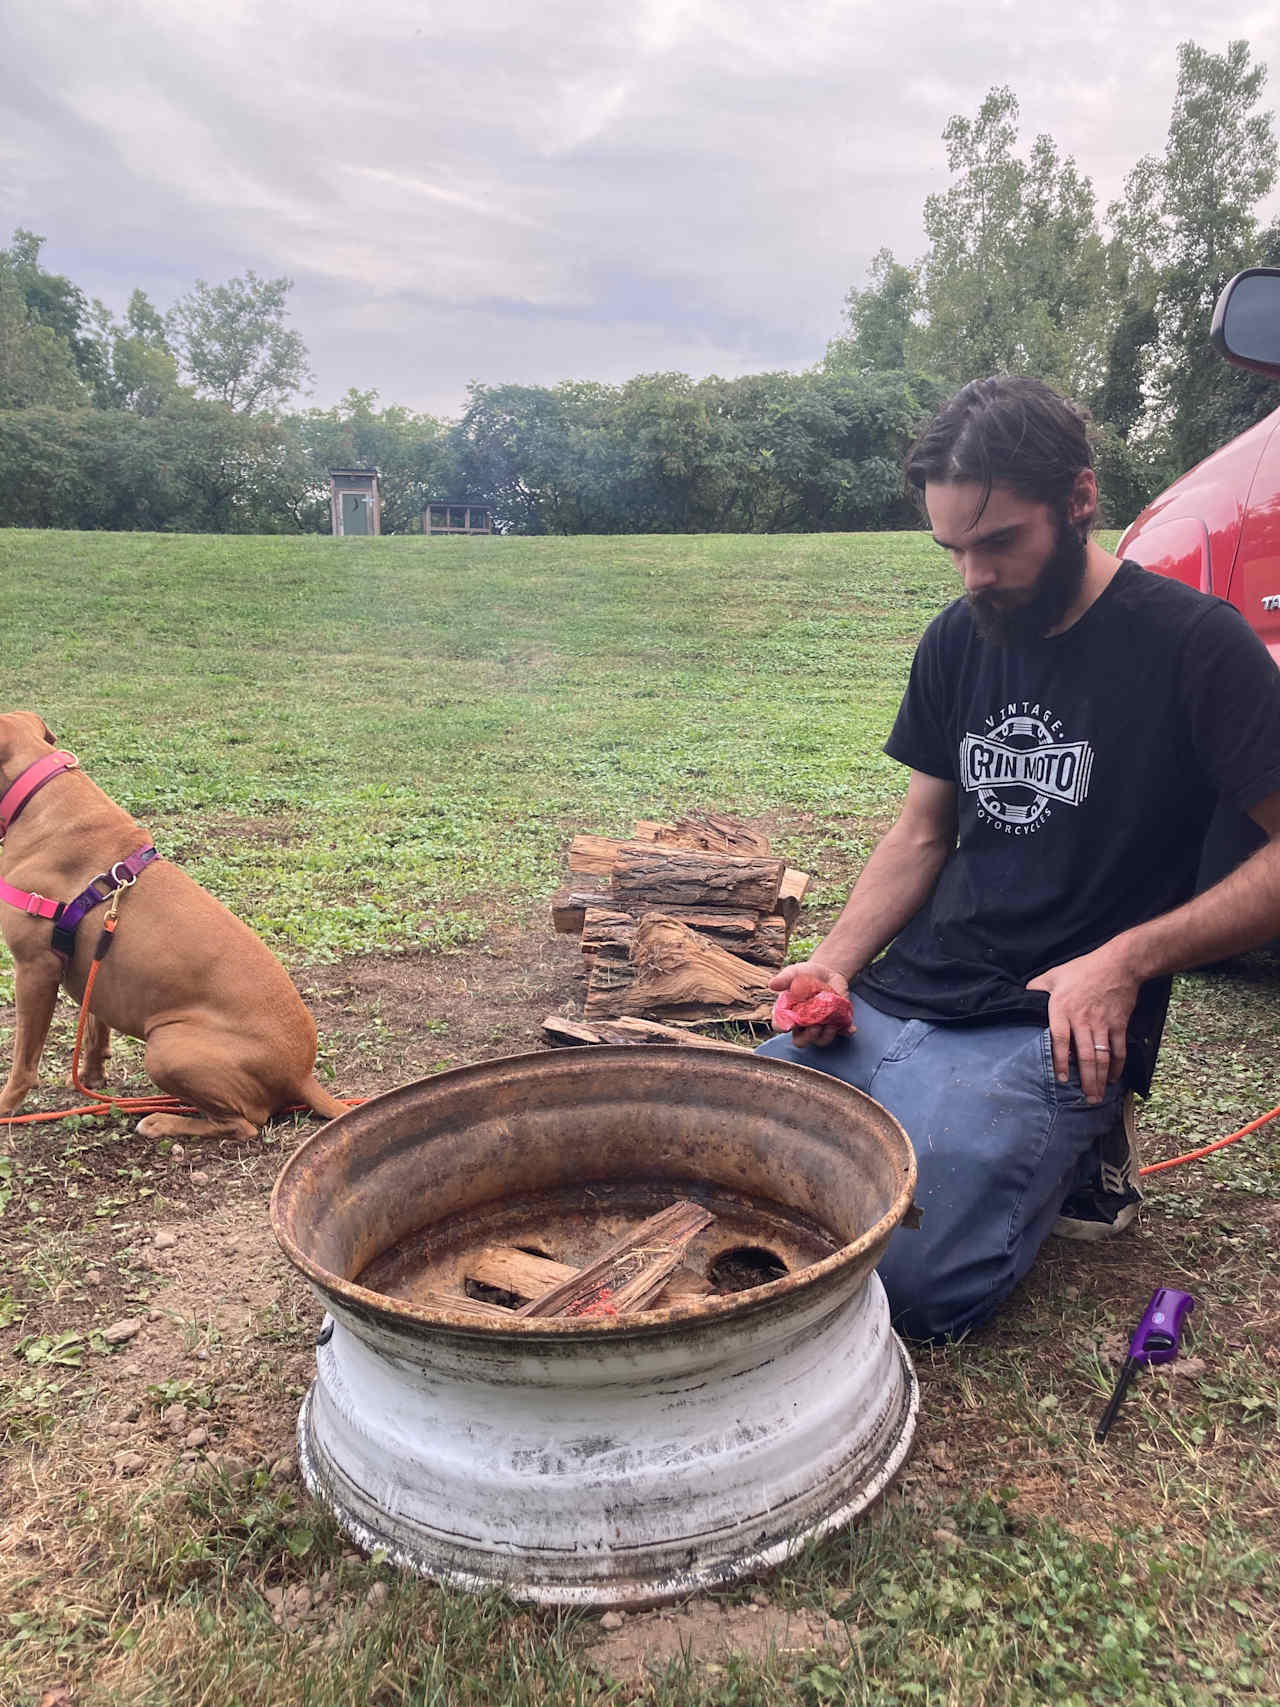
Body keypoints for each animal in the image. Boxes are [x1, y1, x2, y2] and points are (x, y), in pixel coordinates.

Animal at [0, 713, 348, 1140]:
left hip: (166, 1046)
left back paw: (162, 1120)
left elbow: (23, 1062)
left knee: (245, 1124)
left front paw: (5, 1105)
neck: (38, 795)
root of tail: (301, 1075)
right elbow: (96, 1028)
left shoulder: (34, 969)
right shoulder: (93, 960)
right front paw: (91, 1076)